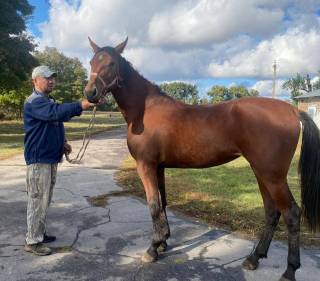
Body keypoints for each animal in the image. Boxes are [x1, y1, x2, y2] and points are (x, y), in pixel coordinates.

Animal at [84, 37, 320, 280]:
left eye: (111, 63)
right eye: (92, 62)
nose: (90, 93)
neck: (145, 110)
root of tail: (293, 111)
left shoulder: (146, 165)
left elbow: (153, 205)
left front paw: (152, 249)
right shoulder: (159, 167)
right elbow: (163, 201)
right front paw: (164, 242)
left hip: (272, 176)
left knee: (291, 214)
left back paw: (289, 270)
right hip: (262, 172)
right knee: (272, 213)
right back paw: (254, 258)